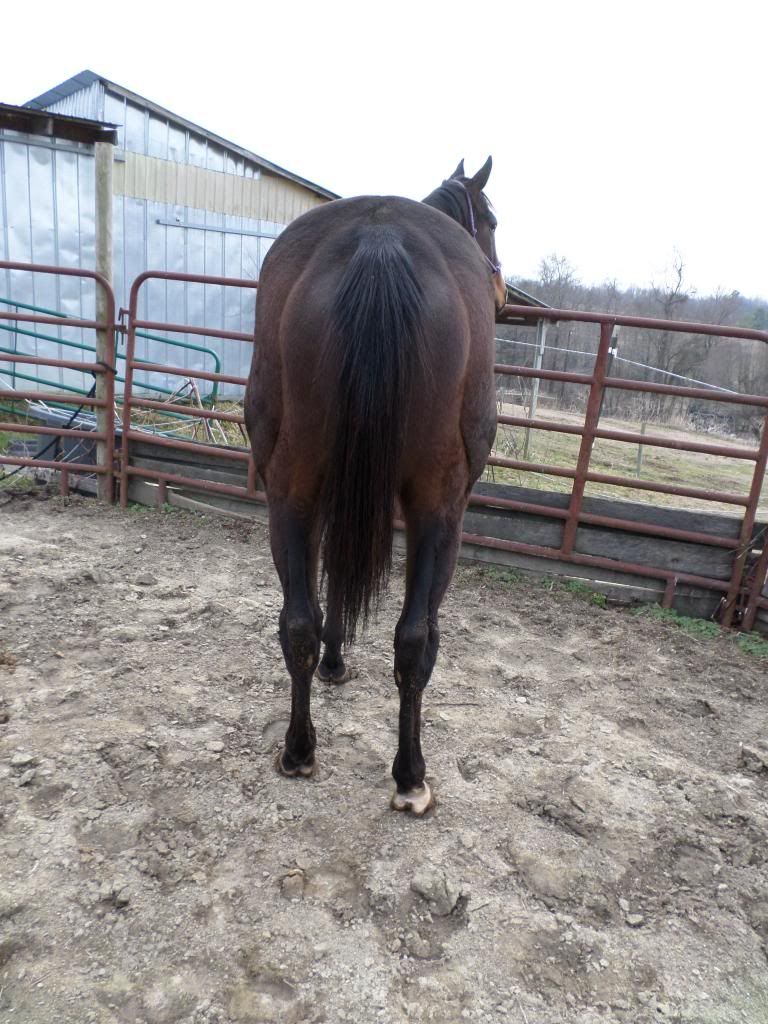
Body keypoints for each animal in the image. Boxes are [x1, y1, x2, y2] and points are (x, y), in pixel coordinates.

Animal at [244, 158, 504, 815]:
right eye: (490, 221)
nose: (501, 292)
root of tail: (379, 241)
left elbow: (330, 584)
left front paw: (334, 662)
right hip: (441, 511)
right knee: (415, 640)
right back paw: (410, 776)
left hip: (291, 494)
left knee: (298, 623)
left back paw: (299, 750)